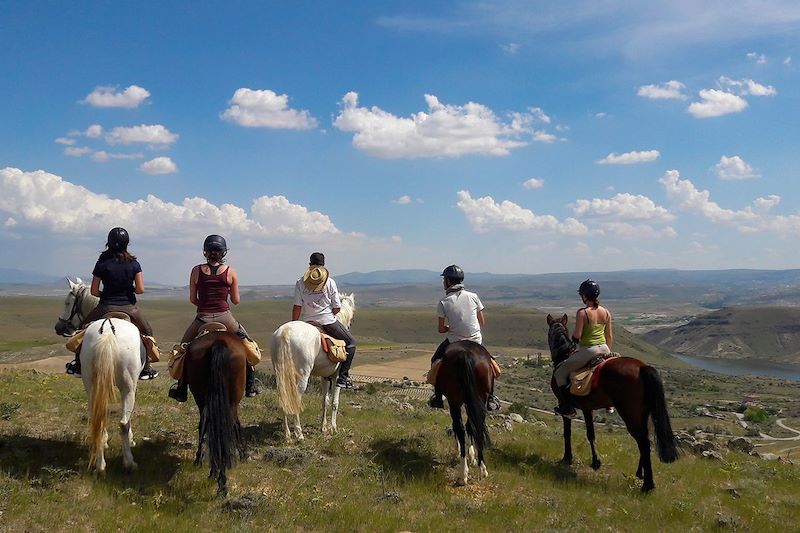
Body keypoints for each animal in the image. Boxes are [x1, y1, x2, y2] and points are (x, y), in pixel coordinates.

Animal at [184, 330, 247, 492]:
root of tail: (218, 342)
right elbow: (236, 425)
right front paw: (243, 454)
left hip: (202, 397)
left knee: (206, 426)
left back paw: (210, 469)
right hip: (232, 401)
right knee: (226, 426)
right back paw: (221, 480)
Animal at [272, 294, 354, 438]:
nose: (349, 326)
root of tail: (285, 333)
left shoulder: (324, 377)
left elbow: (324, 401)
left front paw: (323, 427)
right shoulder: (336, 376)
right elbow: (334, 402)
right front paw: (333, 428)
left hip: (281, 376)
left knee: (284, 398)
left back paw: (287, 435)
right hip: (302, 376)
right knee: (296, 399)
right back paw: (299, 434)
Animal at [434, 340, 490, 486]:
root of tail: (466, 354)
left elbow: (460, 427)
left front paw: (464, 452)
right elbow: (471, 426)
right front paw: (473, 457)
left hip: (454, 401)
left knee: (459, 428)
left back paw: (462, 474)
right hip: (479, 398)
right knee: (476, 427)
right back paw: (482, 468)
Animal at [544, 314, 676, 492]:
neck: (564, 356)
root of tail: (643, 367)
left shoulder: (566, 405)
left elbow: (568, 432)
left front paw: (567, 458)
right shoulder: (588, 408)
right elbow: (591, 434)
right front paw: (595, 462)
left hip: (630, 414)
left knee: (643, 443)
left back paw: (648, 485)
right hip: (644, 414)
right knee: (645, 441)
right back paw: (639, 474)